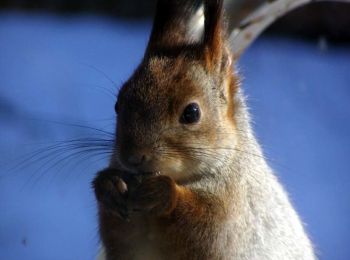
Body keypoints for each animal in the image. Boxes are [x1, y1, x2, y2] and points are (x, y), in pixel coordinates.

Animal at [91, 1, 316, 258]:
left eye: (192, 113)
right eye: (118, 104)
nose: (132, 157)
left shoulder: (234, 210)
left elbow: (206, 229)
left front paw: (162, 194)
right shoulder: (127, 239)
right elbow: (120, 235)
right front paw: (109, 186)